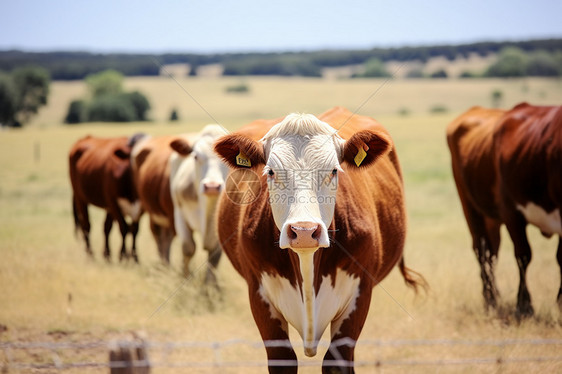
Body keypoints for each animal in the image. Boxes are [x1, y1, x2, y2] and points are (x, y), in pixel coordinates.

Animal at [68, 133, 143, 262]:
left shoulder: (139, 208)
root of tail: (85, 138)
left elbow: (134, 230)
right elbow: (124, 228)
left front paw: (134, 258)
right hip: (80, 198)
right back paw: (90, 254)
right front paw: (123, 256)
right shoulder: (114, 204)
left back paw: (107, 255)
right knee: (86, 225)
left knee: (106, 227)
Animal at [131, 125, 228, 280]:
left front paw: (210, 283)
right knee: (159, 236)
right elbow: (188, 248)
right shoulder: (179, 215)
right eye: (196, 156)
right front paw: (185, 276)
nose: (212, 186)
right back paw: (163, 266)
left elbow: (214, 255)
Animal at [213, 106, 420, 372]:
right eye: (271, 172)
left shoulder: (359, 294)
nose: (304, 231)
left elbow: (336, 361)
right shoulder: (259, 295)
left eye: (333, 170)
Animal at [446, 103, 560, 318]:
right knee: (483, 252)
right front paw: (524, 305)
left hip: (492, 218)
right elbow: (523, 256)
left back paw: (494, 296)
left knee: (492, 253)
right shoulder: (512, 213)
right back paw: (490, 300)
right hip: (472, 209)